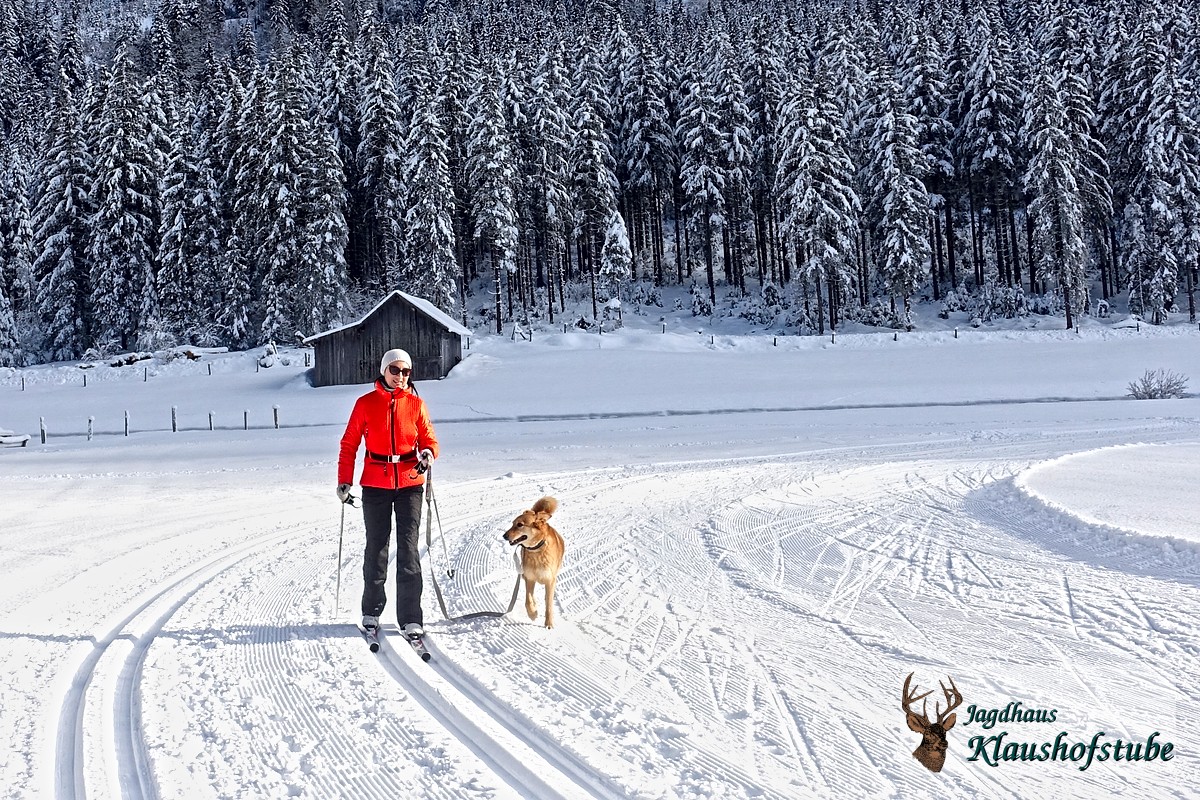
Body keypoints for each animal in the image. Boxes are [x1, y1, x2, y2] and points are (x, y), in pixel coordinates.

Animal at [501, 496, 566, 628]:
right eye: (512, 524)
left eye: (520, 525)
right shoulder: (530, 578)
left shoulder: (550, 581)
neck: (536, 551)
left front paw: (548, 624)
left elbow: (549, 605)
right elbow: (528, 600)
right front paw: (533, 613)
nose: (504, 536)